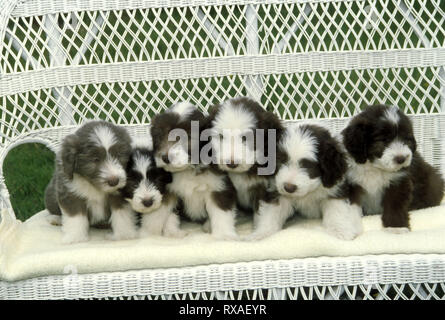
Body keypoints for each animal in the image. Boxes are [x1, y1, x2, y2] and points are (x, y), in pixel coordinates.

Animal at [149, 102, 239, 240]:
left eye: (187, 138)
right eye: (160, 136)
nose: (165, 157)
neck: (188, 168)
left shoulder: (219, 187)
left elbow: (221, 213)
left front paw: (224, 235)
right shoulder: (169, 190)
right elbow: (166, 212)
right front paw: (172, 233)